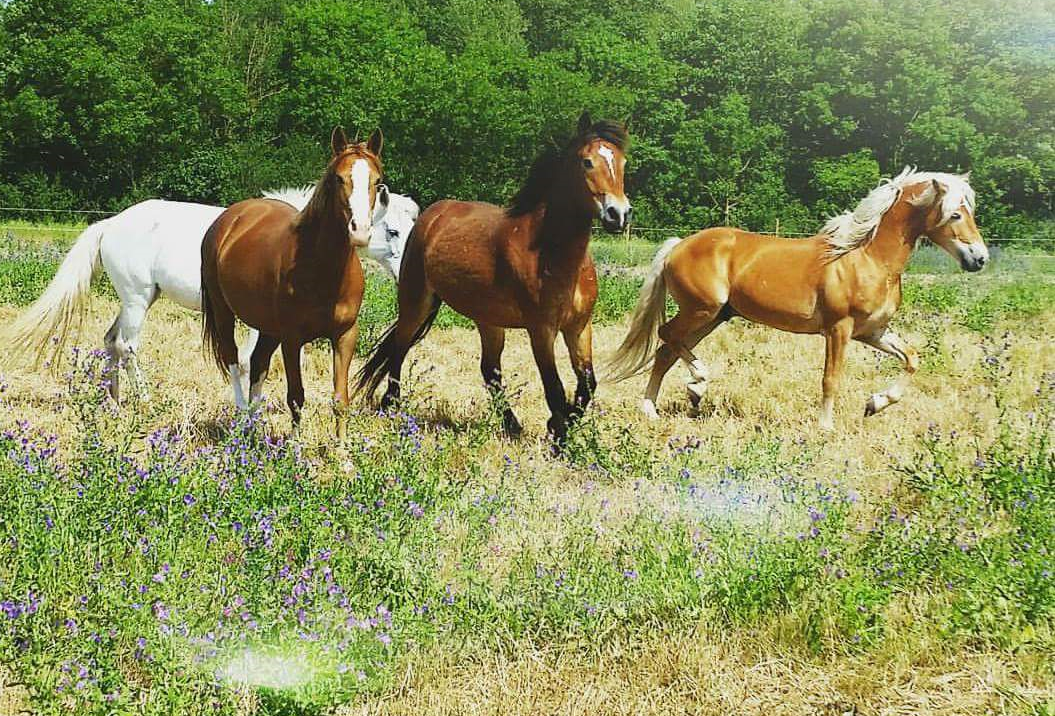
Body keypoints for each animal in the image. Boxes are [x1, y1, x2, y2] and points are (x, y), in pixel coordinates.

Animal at [4, 179, 416, 403]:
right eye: (393, 230)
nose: (408, 274)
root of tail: (110, 224)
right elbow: (251, 361)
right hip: (137, 300)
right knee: (127, 346)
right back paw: (144, 399)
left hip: (137, 299)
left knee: (110, 341)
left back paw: (116, 399)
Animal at [201, 127, 384, 432]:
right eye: (338, 178)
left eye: (378, 181)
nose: (360, 231)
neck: (323, 270)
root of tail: (228, 219)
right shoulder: (292, 338)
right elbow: (296, 397)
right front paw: (295, 445)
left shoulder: (345, 334)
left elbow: (340, 400)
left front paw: (343, 447)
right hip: (223, 311)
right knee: (233, 359)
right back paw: (241, 419)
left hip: (268, 327)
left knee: (258, 363)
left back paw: (254, 427)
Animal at [355, 112, 631, 445]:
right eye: (587, 162)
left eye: (623, 161)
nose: (619, 214)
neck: (551, 254)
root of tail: (432, 215)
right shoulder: (541, 330)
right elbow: (554, 388)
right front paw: (559, 439)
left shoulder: (579, 327)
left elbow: (587, 384)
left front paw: (557, 425)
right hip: (416, 301)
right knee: (400, 347)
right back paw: (391, 405)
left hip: (488, 320)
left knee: (489, 371)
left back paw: (512, 425)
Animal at [608, 168, 988, 430]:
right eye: (955, 214)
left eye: (969, 212)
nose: (979, 258)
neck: (864, 257)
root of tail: (678, 245)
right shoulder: (839, 329)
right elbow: (831, 378)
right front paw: (826, 427)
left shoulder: (872, 332)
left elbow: (912, 358)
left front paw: (875, 403)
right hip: (702, 309)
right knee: (667, 337)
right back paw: (697, 386)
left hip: (714, 316)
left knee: (665, 352)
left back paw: (654, 408)